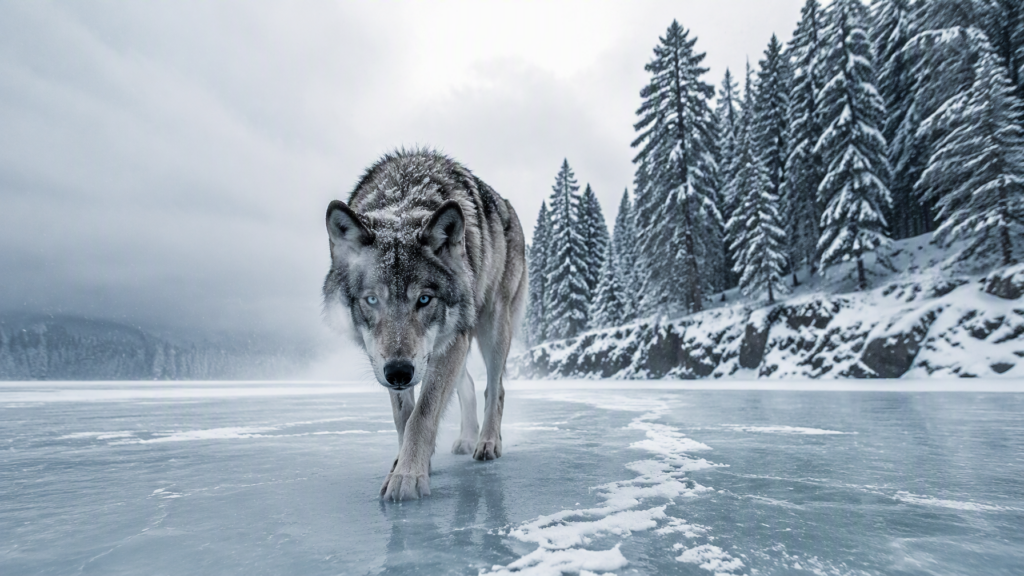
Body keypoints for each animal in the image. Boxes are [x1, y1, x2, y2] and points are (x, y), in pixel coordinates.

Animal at [322, 149, 527, 501]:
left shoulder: (450, 341)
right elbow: (403, 417)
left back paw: (487, 442)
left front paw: (407, 476)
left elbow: (423, 414)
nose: (399, 373)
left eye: (424, 299)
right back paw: (467, 439)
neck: (404, 198)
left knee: (495, 387)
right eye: (371, 300)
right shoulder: (389, 360)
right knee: (468, 384)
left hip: (492, 326)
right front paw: (406, 464)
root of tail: (507, 204)